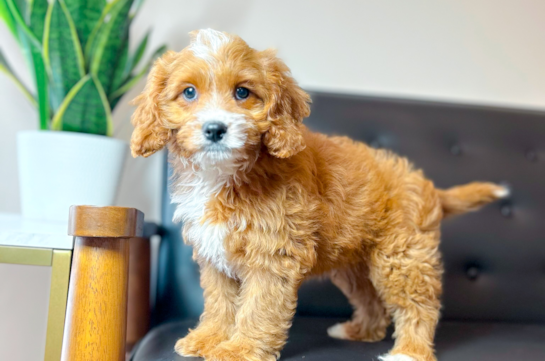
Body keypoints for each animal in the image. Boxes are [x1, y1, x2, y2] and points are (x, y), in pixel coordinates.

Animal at [130, 28, 508, 360]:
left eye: (242, 93)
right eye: (188, 93)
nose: (214, 129)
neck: (224, 173)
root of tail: (426, 183)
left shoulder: (273, 255)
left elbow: (257, 307)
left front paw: (239, 350)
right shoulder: (215, 254)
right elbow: (219, 302)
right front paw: (209, 339)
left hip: (402, 257)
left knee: (418, 306)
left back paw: (410, 352)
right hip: (354, 266)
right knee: (372, 302)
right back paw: (359, 331)